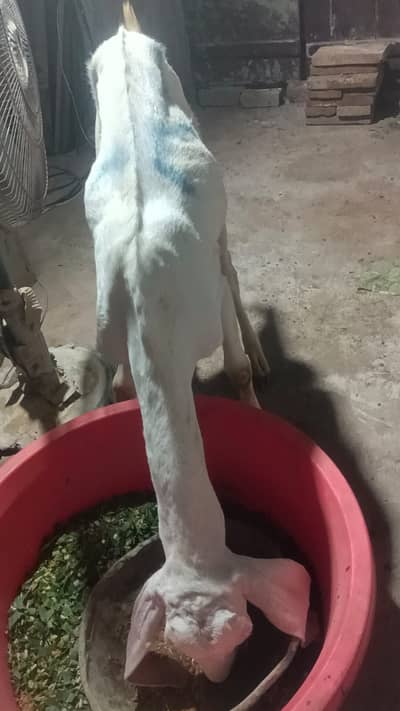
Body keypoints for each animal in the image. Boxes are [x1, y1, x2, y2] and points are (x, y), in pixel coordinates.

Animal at [85, 0, 311, 687]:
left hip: (211, 191)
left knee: (229, 263)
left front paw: (252, 396)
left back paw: (261, 352)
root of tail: (127, 31)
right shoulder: (110, 333)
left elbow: (232, 366)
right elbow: (124, 388)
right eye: (181, 644)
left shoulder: (205, 304)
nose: (221, 681)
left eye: (244, 626)